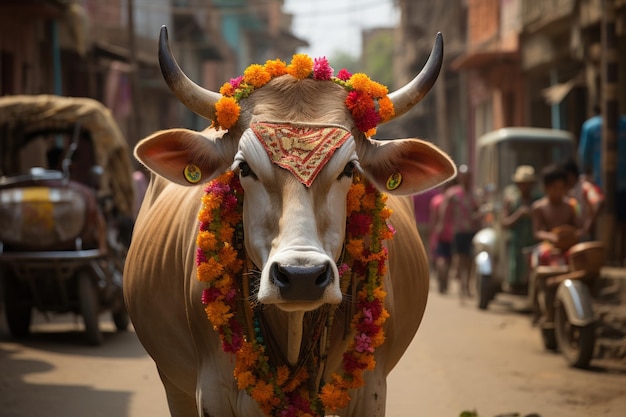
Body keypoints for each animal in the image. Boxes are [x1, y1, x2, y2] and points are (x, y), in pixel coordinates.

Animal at [123, 26, 454, 416]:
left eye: (350, 169)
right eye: (244, 168)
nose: (301, 277)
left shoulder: (371, 392)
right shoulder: (213, 393)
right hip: (174, 383)